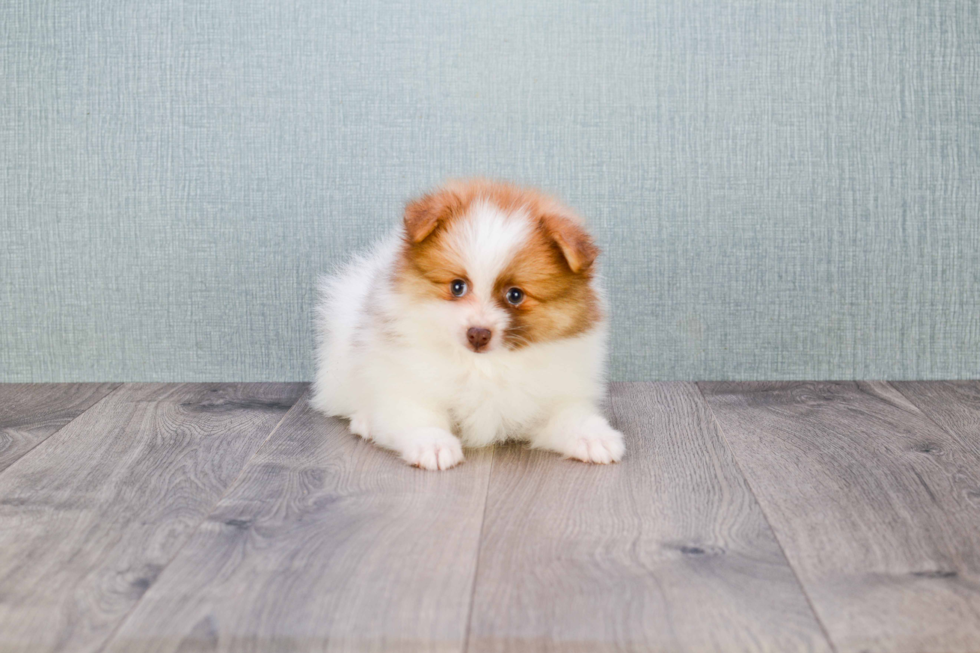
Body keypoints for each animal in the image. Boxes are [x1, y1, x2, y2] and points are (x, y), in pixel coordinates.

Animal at [310, 178, 624, 468]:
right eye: (457, 286)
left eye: (515, 295)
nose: (478, 334)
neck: (485, 366)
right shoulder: (407, 386)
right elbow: (416, 416)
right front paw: (433, 445)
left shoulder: (551, 396)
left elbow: (570, 416)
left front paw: (595, 438)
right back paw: (364, 421)